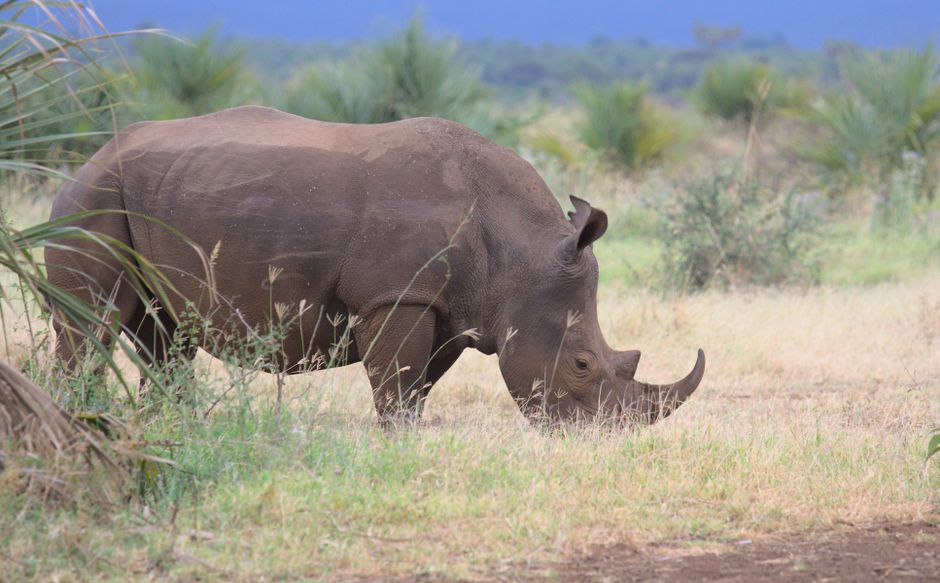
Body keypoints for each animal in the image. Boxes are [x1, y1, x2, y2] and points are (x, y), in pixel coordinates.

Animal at [47, 106, 704, 424]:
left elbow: (416, 387)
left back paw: (169, 428)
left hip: (155, 194)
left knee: (165, 335)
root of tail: (91, 156)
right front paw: (395, 444)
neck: (520, 250)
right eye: (582, 363)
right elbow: (395, 384)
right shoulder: (397, 294)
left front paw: (406, 436)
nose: (602, 439)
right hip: (93, 200)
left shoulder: (451, 307)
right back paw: (79, 417)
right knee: (92, 325)